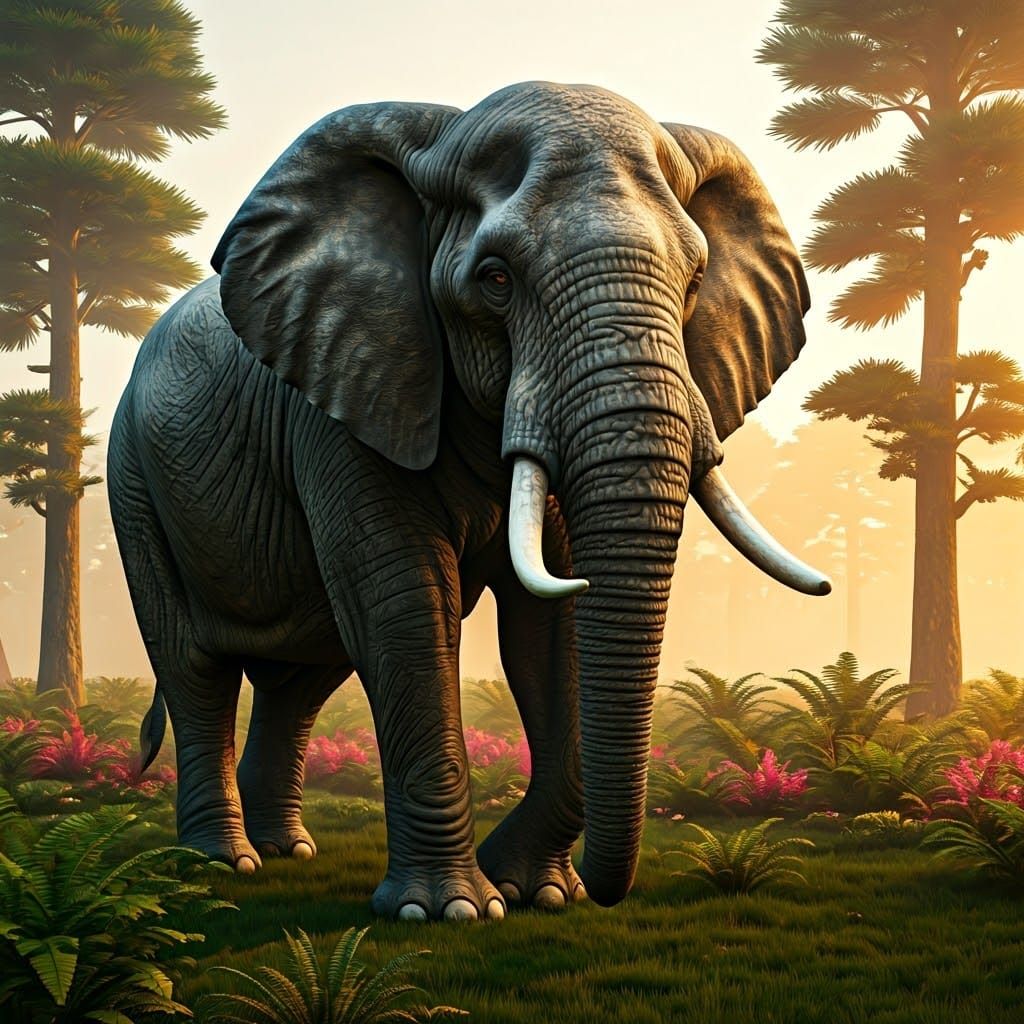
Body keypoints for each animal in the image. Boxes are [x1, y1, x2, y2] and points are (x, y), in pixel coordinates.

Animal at [108, 81, 830, 923]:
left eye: (693, 283)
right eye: (495, 279)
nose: (606, 893)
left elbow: (553, 626)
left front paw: (536, 893)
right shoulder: (349, 390)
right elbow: (405, 603)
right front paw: (449, 911)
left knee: (306, 675)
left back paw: (288, 852)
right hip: (133, 479)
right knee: (196, 665)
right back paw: (225, 863)